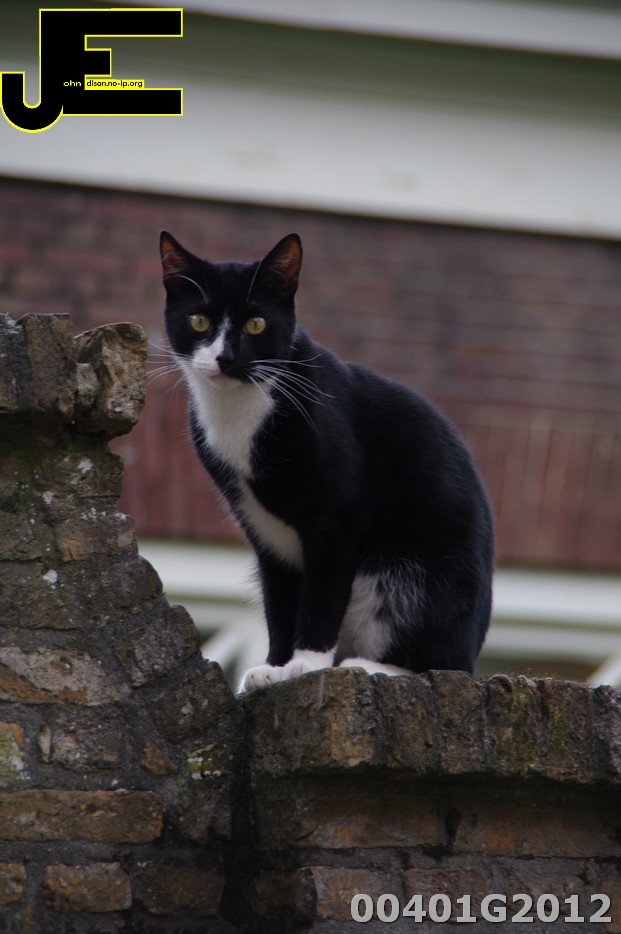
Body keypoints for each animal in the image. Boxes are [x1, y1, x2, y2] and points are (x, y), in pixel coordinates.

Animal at [159, 230, 494, 693]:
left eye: (256, 324)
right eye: (199, 322)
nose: (224, 358)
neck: (242, 410)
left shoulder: (339, 519)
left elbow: (322, 595)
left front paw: (307, 664)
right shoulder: (266, 533)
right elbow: (280, 602)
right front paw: (275, 667)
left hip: (420, 573)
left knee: (445, 663)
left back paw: (369, 665)